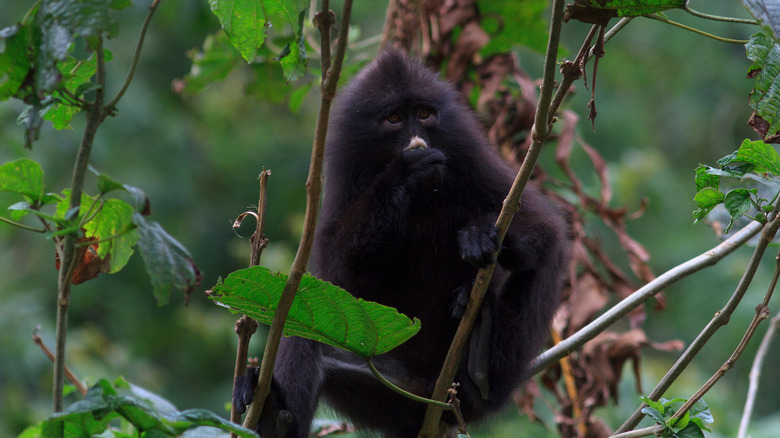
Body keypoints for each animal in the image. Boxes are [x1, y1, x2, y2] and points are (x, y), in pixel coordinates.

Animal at [235, 50, 568, 438]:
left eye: (423, 114)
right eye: (394, 119)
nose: (416, 136)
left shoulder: (466, 152)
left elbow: (543, 227)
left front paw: (480, 232)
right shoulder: (346, 169)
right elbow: (336, 273)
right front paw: (403, 174)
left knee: (545, 259)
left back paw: (482, 366)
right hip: (396, 394)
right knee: (301, 325)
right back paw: (275, 417)